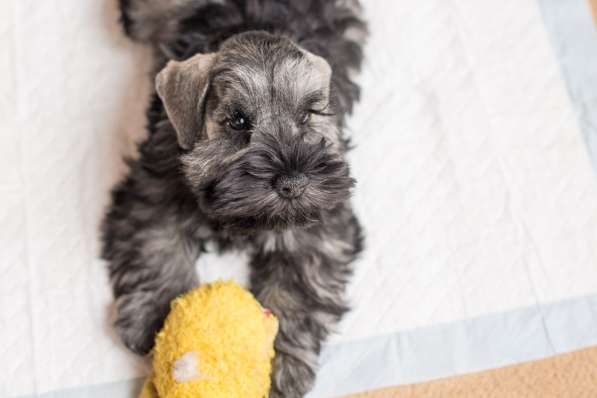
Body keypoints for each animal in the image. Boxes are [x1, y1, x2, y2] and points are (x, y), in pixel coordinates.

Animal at [100, 1, 366, 396]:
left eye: (307, 115)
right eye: (238, 121)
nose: (293, 182)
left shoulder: (319, 229)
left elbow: (297, 287)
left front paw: (282, 366)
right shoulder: (153, 196)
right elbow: (157, 249)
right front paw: (157, 318)